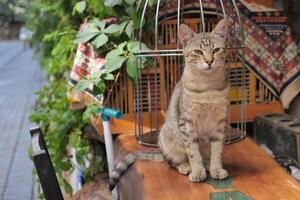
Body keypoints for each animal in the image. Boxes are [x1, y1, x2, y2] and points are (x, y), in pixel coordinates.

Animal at [109, 19, 229, 190]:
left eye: (216, 50)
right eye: (198, 52)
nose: (209, 61)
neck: (208, 86)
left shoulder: (219, 123)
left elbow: (217, 151)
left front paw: (216, 169)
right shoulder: (187, 124)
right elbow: (193, 153)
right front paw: (198, 172)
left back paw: (206, 164)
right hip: (168, 137)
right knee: (172, 162)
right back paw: (185, 166)